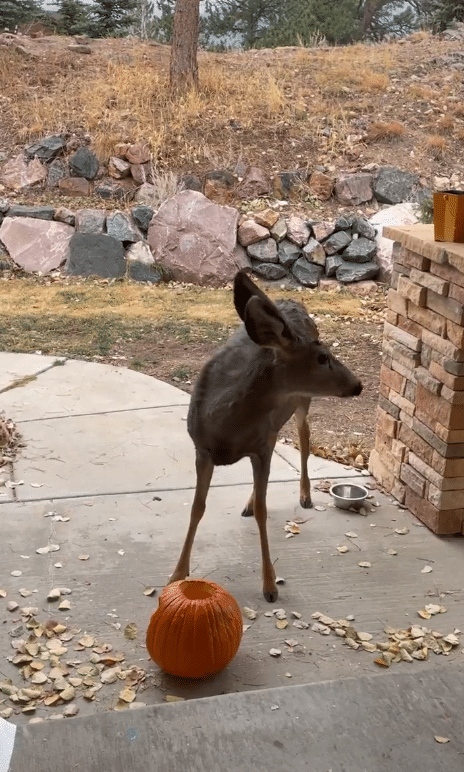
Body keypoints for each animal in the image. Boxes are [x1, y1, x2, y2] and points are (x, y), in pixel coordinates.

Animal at [169, 272, 362, 604]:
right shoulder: (202, 449)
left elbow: (263, 510)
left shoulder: (260, 447)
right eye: (322, 357)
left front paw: (270, 585)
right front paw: (177, 574)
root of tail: (292, 301)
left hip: (302, 401)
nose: (358, 384)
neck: (227, 428)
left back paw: (305, 495)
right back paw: (251, 502)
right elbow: (197, 507)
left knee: (304, 436)